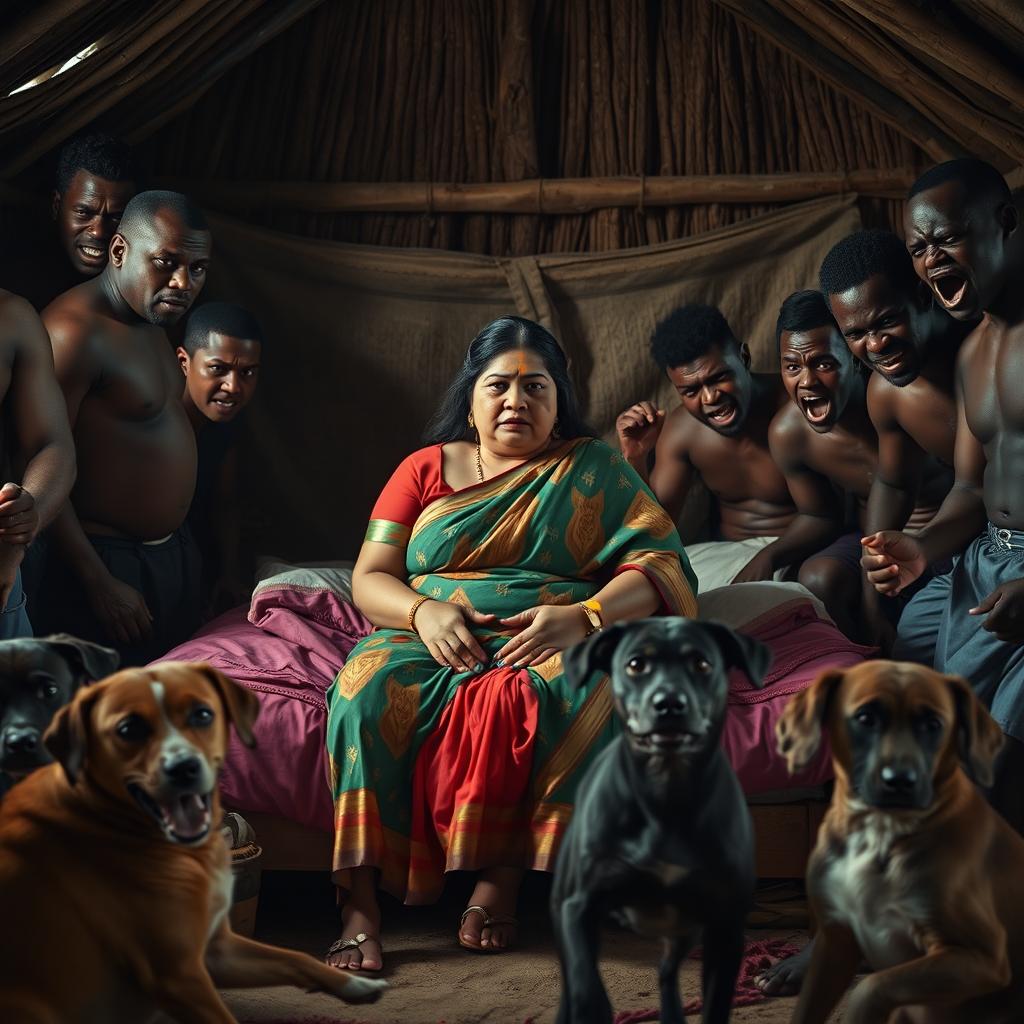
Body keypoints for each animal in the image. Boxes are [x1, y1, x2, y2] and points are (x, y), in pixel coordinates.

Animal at [0, 659, 385, 1019]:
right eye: (128, 729)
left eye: (203, 714)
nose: (184, 768)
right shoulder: (178, 974)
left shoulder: (218, 949)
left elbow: (297, 958)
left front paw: (355, 983)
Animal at [552, 614, 770, 1024]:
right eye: (636, 664)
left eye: (702, 663)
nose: (669, 704)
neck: (665, 794)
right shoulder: (578, 908)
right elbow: (586, 987)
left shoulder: (725, 927)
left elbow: (715, 1003)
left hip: (684, 930)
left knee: (667, 970)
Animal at [778, 659, 1019, 1024]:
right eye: (865, 718)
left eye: (933, 724)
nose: (901, 781)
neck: (877, 833)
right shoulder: (834, 944)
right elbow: (808, 1008)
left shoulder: (983, 957)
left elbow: (871, 988)